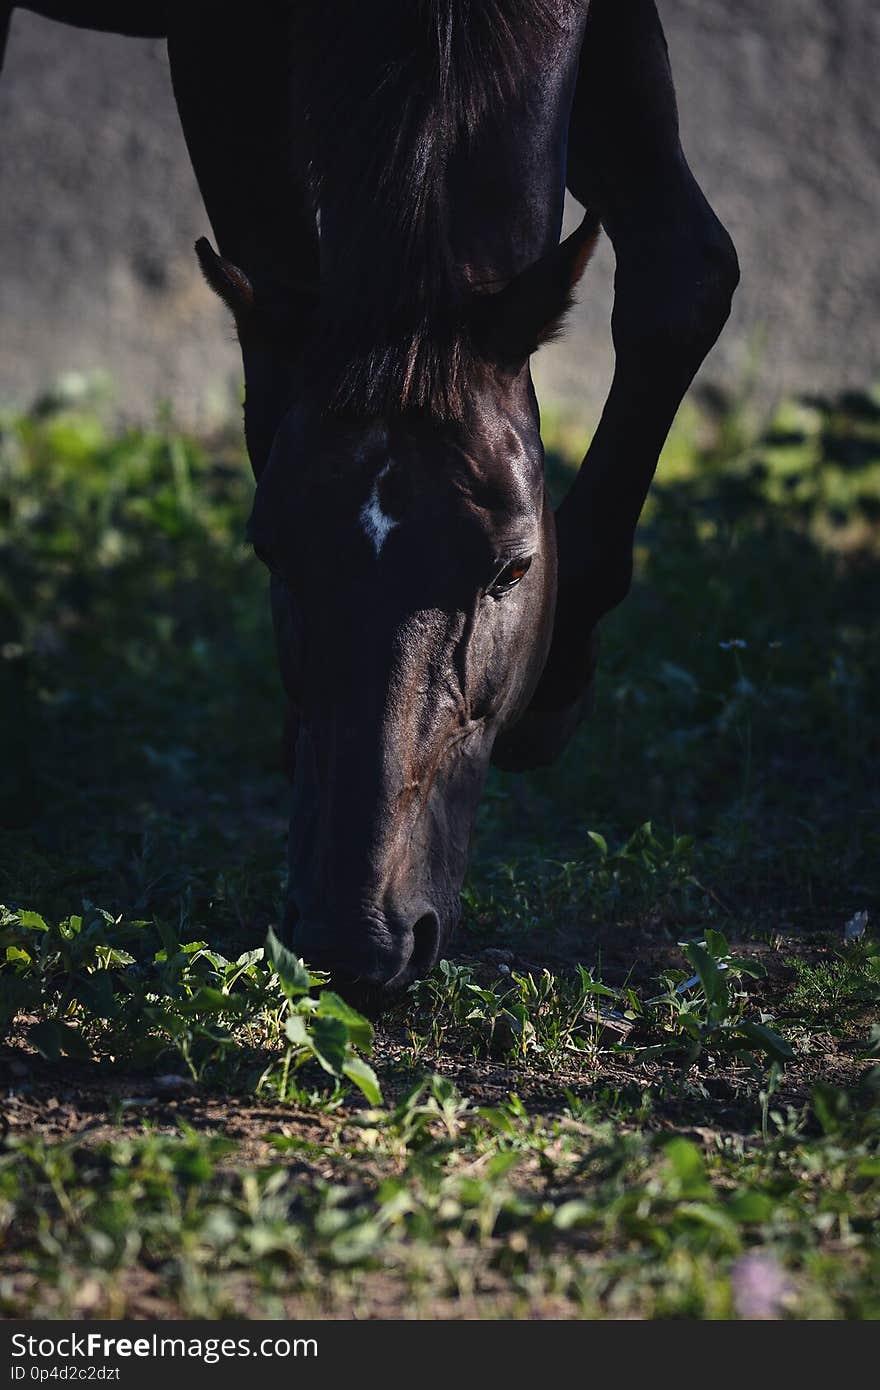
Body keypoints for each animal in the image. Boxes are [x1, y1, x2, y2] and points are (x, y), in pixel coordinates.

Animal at [3, 0, 739, 1000]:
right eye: (272, 553)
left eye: (514, 570)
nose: (355, 942)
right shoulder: (221, 48)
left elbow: (685, 277)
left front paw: (558, 684)